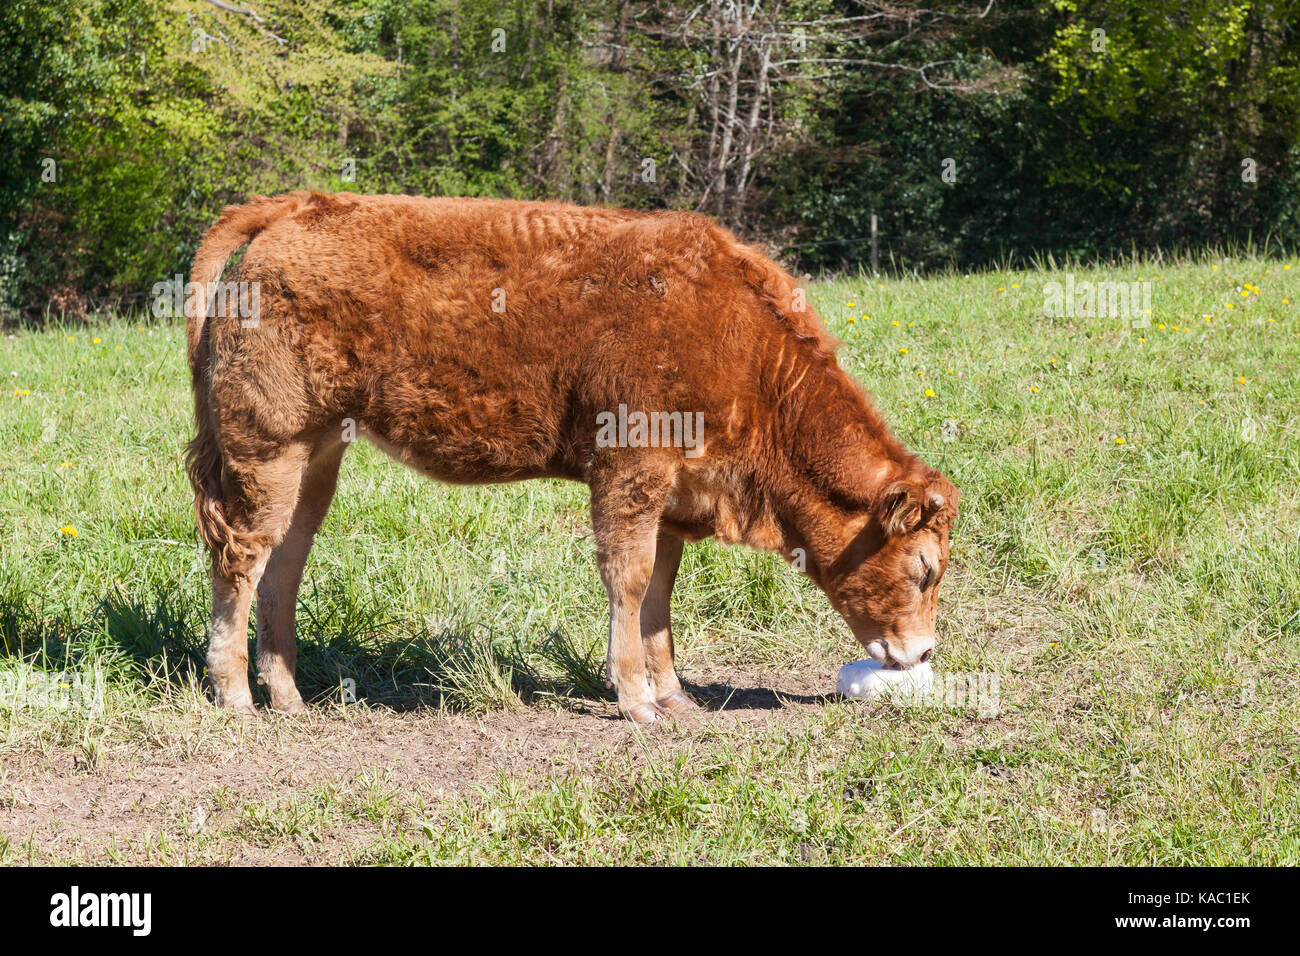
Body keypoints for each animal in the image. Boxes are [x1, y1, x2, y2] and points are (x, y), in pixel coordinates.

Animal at [185, 191, 956, 723]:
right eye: (923, 568)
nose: (923, 654)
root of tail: (301, 203)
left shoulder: (674, 494)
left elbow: (660, 593)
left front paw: (673, 695)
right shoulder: (630, 469)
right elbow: (630, 580)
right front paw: (636, 700)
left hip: (316, 453)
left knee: (286, 558)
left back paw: (288, 694)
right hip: (266, 446)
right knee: (242, 554)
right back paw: (235, 693)